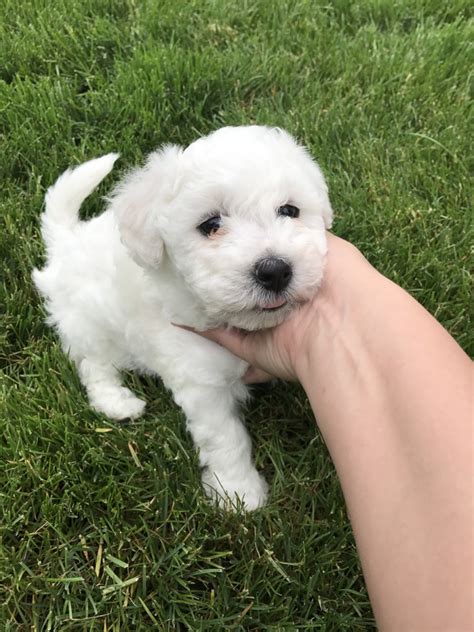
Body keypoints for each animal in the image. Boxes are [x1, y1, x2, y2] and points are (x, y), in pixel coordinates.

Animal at [33, 126, 332, 512]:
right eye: (211, 224)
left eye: (290, 210)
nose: (275, 270)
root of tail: (66, 243)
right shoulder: (201, 382)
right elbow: (226, 438)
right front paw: (239, 494)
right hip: (91, 325)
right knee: (93, 367)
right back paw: (118, 403)